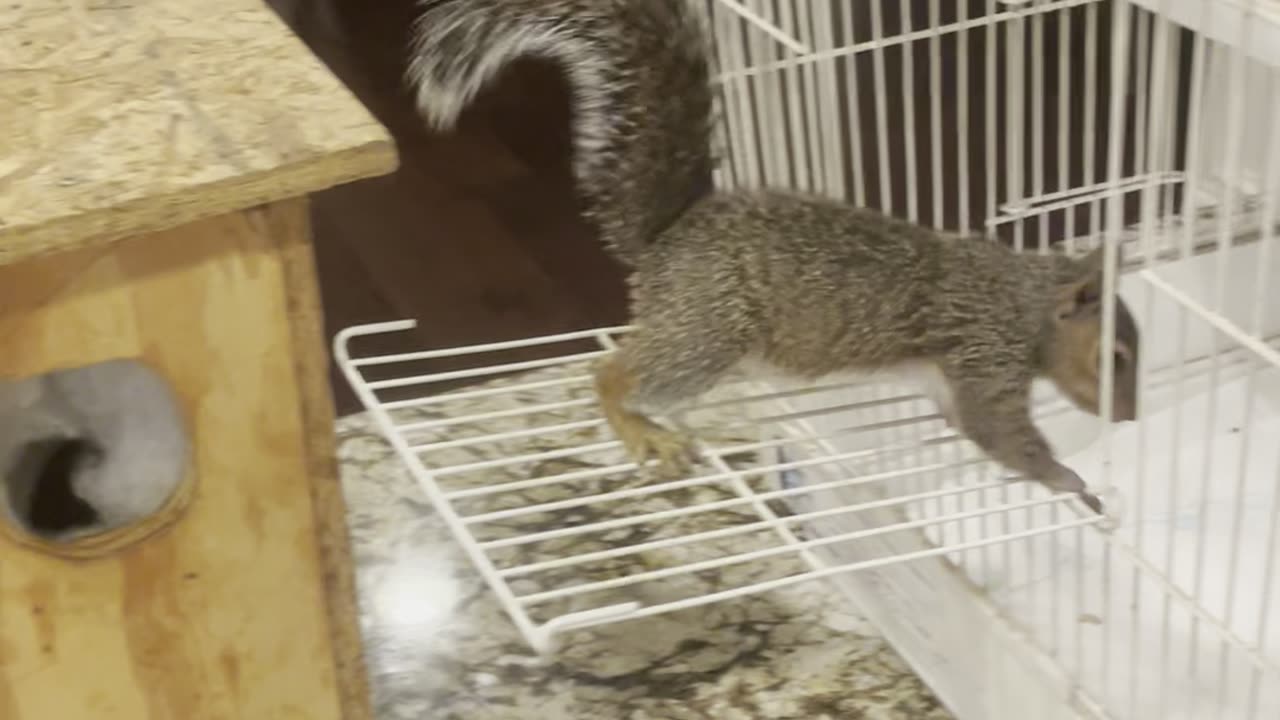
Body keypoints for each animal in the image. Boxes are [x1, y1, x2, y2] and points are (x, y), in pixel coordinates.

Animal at [407, 0, 1141, 509]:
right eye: (1113, 357)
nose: (1129, 419)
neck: (1026, 299)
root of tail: (668, 238)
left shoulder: (955, 376)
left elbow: (964, 424)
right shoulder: (986, 347)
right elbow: (1003, 434)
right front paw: (1068, 479)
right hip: (706, 336)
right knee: (613, 375)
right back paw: (642, 429)